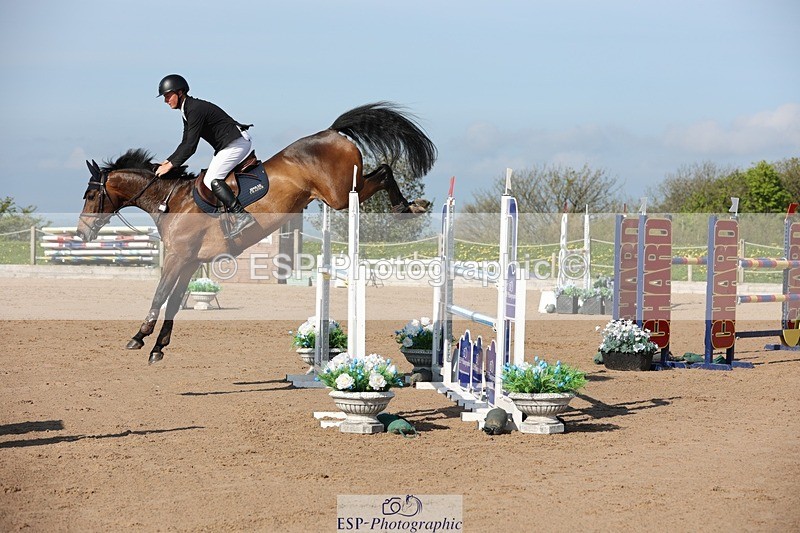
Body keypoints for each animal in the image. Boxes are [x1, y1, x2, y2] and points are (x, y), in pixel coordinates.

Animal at [76, 102, 437, 364]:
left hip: (339, 194)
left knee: (385, 171)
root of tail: (332, 131)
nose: (81, 234)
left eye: (91, 195)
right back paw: (412, 205)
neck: (171, 200)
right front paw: (158, 347)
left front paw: (139, 337)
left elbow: (159, 295)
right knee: (383, 171)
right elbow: (176, 301)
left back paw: (408, 207)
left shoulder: (178, 258)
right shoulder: (191, 261)